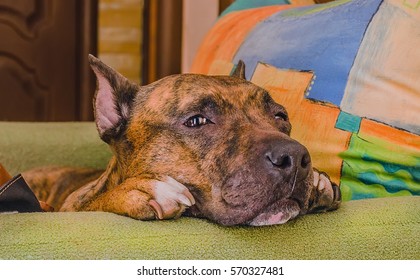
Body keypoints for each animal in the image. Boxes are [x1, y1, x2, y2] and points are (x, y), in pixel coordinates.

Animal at [21, 55, 340, 226]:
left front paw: (319, 181)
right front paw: (138, 190)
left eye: (280, 116)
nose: (294, 158)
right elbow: (97, 202)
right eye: (197, 120)